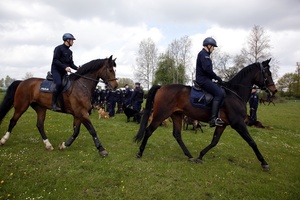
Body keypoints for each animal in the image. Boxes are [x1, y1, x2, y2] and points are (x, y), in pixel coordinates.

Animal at [135, 58, 278, 171]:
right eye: (267, 73)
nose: (274, 90)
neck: (235, 93)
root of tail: (162, 87)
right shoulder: (238, 123)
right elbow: (252, 142)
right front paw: (264, 163)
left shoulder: (223, 124)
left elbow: (214, 141)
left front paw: (200, 156)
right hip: (160, 115)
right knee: (149, 131)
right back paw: (140, 153)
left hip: (176, 115)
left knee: (177, 135)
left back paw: (190, 156)